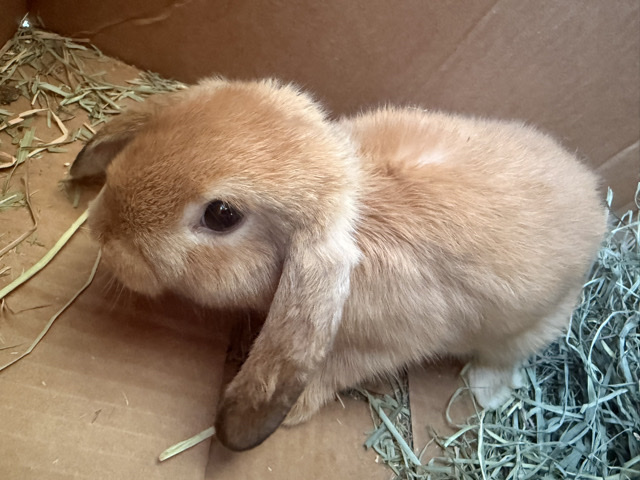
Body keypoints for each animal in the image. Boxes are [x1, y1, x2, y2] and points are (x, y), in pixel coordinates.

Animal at [70, 78, 607, 452]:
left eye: (221, 215)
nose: (101, 228)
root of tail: (596, 199)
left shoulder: (379, 346)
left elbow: (330, 374)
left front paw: (292, 414)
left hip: (532, 327)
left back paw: (485, 388)